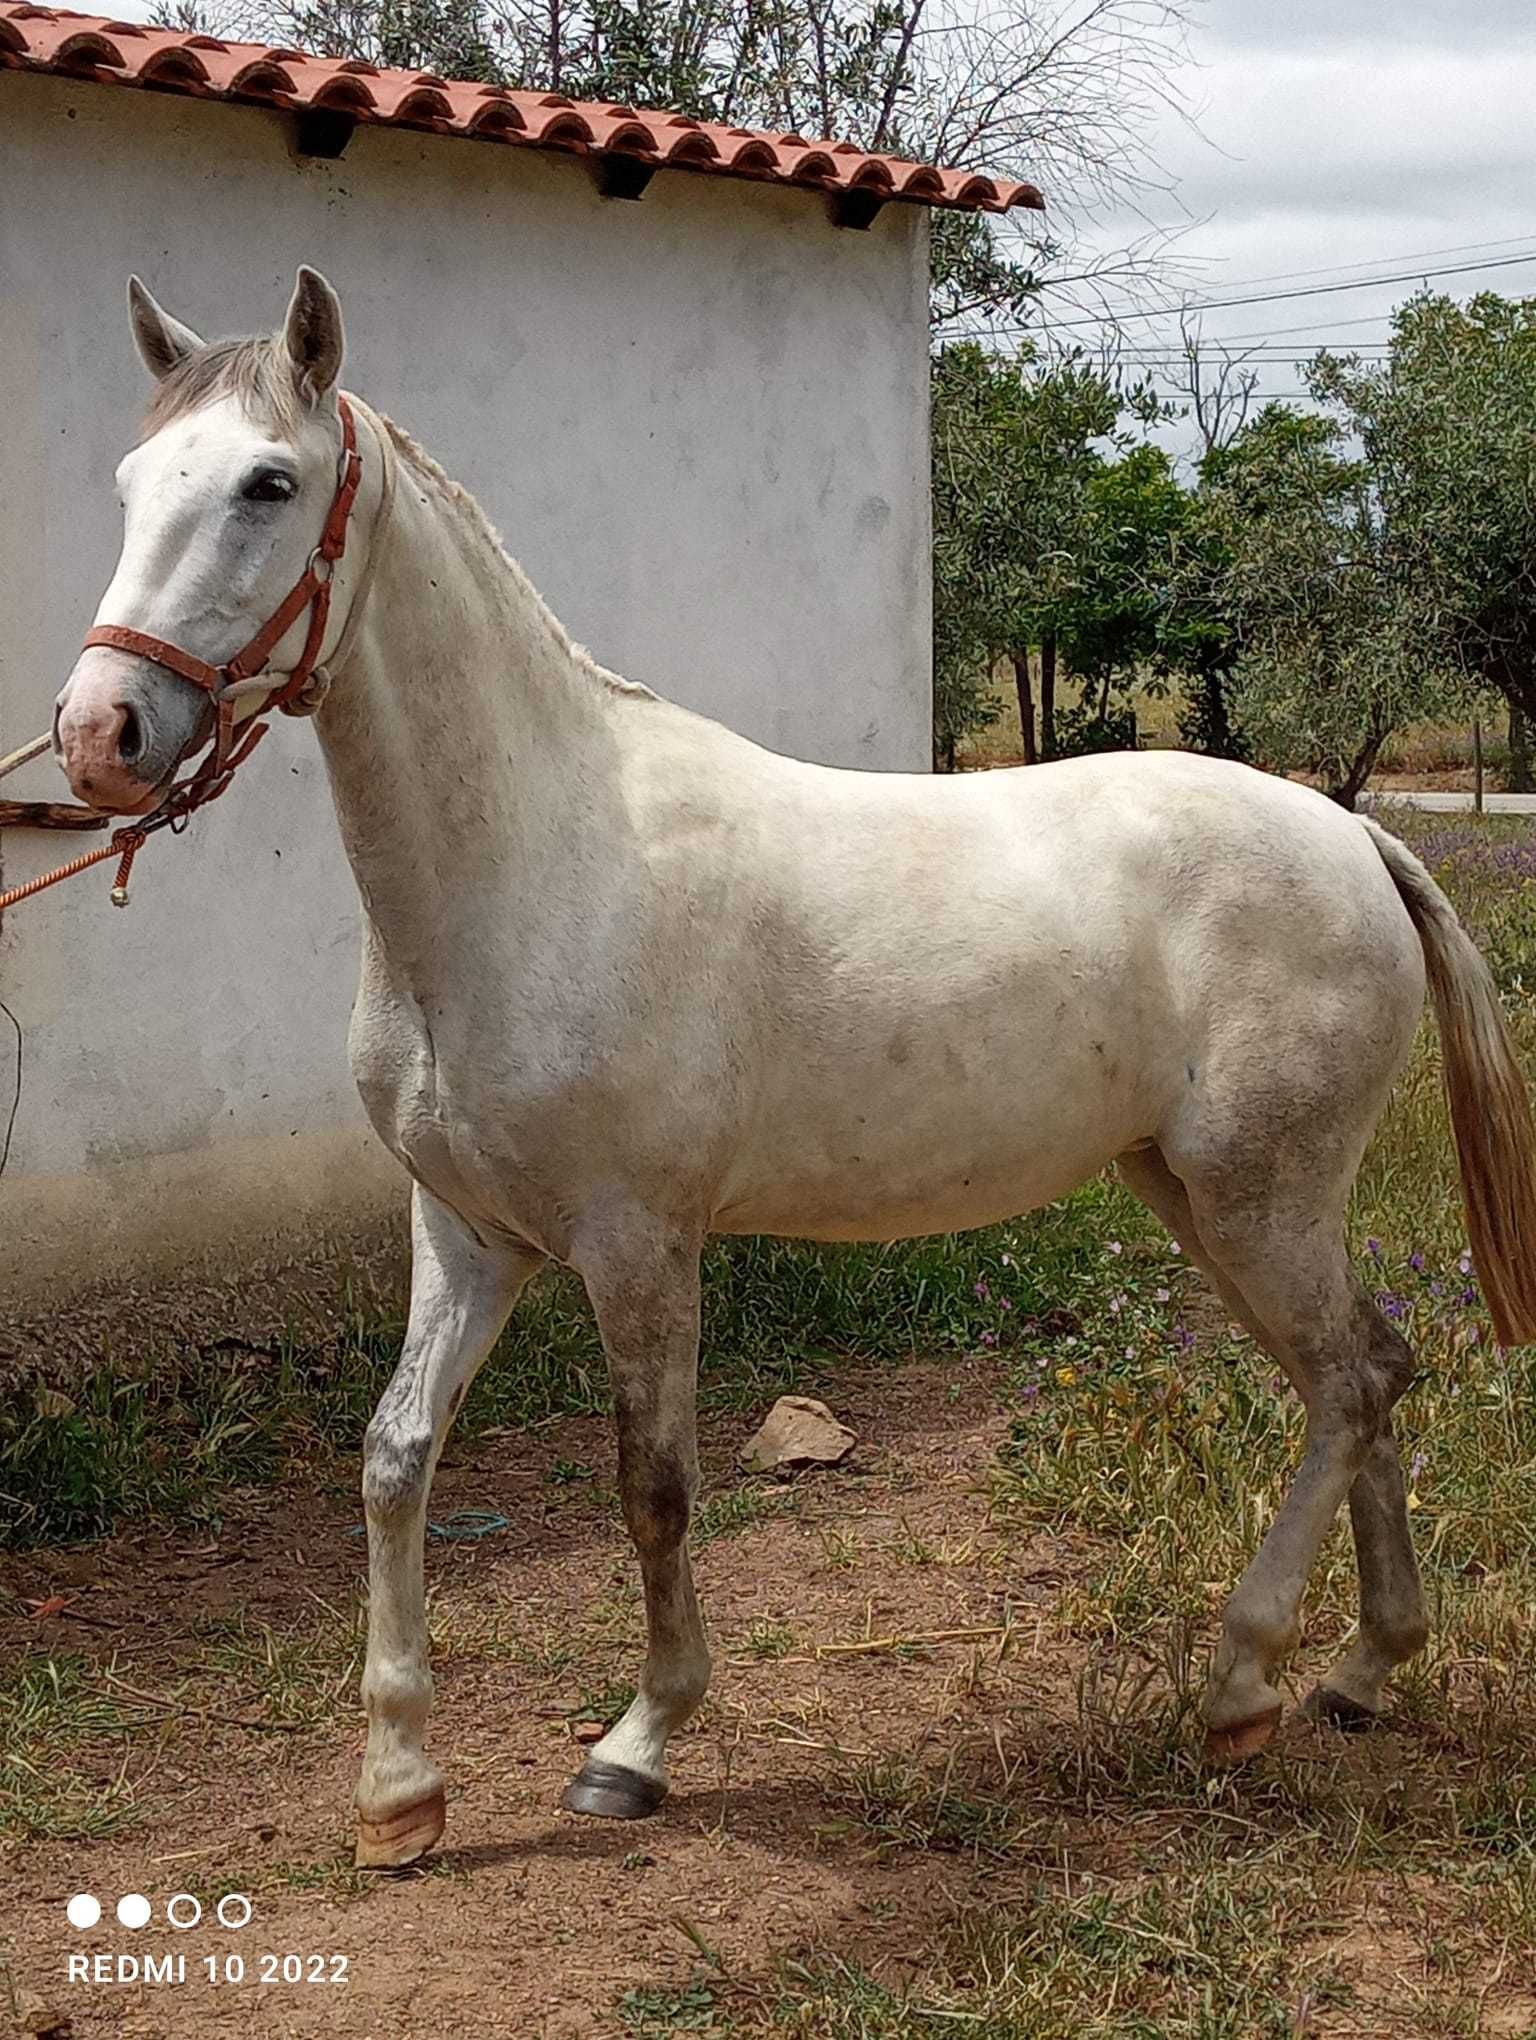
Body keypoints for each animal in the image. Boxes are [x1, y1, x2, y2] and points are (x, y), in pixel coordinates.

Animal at [50, 271, 1533, 1868]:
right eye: (130, 482)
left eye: (270, 482)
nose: (98, 733)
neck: (536, 857)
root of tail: (1355, 838)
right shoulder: (468, 1234)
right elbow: (394, 1461)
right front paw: (399, 1786)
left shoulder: (637, 1243)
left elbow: (653, 1487)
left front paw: (636, 1746)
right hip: (1206, 1198)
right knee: (1362, 1375)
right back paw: (1360, 1671)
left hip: (1261, 1197)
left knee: (1351, 1383)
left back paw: (1244, 1681)